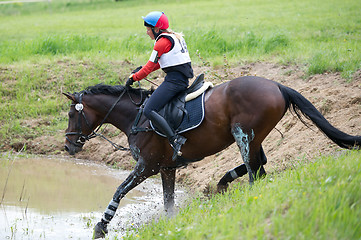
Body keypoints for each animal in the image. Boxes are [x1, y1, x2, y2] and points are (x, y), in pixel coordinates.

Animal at [63, 76, 358, 237]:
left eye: (70, 115)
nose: (68, 146)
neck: (136, 117)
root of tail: (275, 84)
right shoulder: (166, 168)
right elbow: (168, 202)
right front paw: (171, 226)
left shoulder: (147, 167)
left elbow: (119, 190)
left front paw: (101, 227)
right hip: (253, 137)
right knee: (259, 166)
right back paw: (223, 182)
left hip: (243, 135)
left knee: (255, 172)